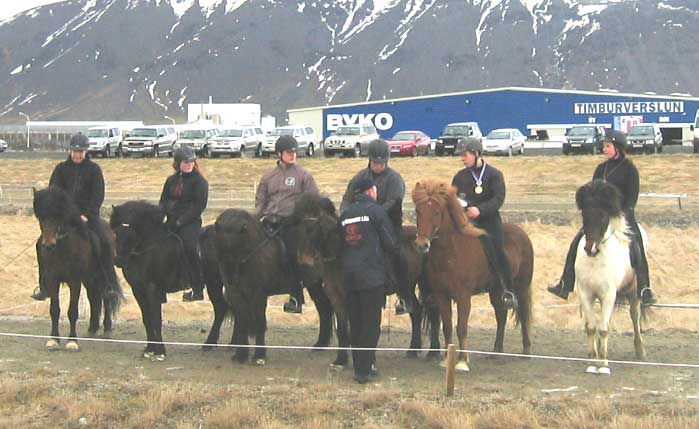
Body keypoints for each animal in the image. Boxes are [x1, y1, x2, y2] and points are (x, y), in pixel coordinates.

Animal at [33, 187, 123, 351]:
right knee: (94, 298)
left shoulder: (74, 281)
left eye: (58, 216)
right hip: (89, 278)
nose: (48, 245)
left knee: (106, 296)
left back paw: (106, 328)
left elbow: (72, 311)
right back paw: (92, 328)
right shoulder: (52, 280)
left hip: (101, 274)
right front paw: (53, 339)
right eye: (41, 217)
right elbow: (54, 310)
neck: (62, 248)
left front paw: (72, 341)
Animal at [214, 208, 342, 366]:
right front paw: (240, 355)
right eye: (219, 247)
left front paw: (259, 356)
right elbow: (242, 322)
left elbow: (260, 322)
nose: (231, 277)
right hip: (315, 284)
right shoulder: (236, 294)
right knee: (324, 309)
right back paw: (319, 345)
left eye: (235, 247)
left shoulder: (258, 295)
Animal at [291, 193, 442, 362]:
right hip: (406, 287)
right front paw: (341, 360)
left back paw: (433, 352)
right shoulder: (337, 299)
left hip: (426, 285)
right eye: (300, 224)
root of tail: (427, 241)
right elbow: (343, 330)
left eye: (315, 225)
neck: (339, 257)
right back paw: (413, 350)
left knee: (433, 312)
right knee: (416, 311)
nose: (304, 259)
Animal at [411, 178, 534, 372]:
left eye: (436, 212)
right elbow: (447, 326)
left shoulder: (463, 296)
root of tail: (522, 234)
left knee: (523, 312)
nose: (421, 245)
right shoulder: (441, 295)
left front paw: (462, 361)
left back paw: (526, 350)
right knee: (501, 316)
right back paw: (496, 351)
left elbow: (461, 327)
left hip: (521, 287)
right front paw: (447, 359)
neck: (450, 251)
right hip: (496, 290)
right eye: (418, 211)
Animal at [574, 179, 648, 375]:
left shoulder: (608, 294)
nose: (590, 249)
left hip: (633, 292)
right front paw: (593, 362)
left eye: (602, 216)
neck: (596, 261)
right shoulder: (586, 294)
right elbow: (592, 327)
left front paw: (604, 365)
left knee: (634, 316)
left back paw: (640, 350)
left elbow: (604, 329)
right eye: (584, 214)